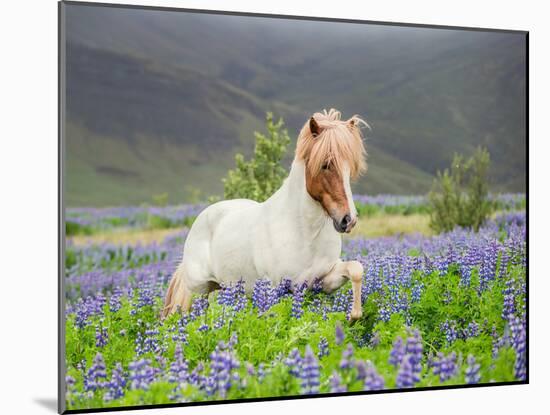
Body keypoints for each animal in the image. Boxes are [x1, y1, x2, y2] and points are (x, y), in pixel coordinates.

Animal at [164, 109, 370, 322]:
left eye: (350, 168)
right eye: (325, 165)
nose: (348, 220)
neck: (305, 234)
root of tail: (202, 217)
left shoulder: (325, 280)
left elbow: (356, 269)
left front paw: (352, 317)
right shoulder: (274, 288)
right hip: (199, 290)